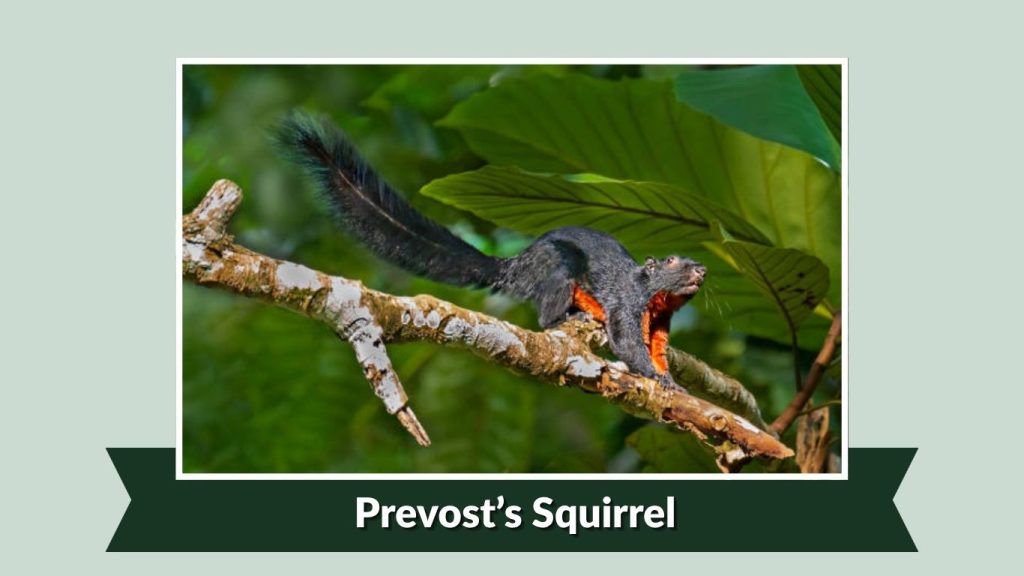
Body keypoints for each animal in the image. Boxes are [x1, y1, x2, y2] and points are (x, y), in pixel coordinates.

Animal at [276, 113, 705, 389]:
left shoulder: (662, 321)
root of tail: (516, 265)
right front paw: (657, 379)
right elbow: (627, 342)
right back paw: (571, 312)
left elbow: (658, 349)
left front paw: (670, 378)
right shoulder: (626, 301)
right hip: (556, 265)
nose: (701, 270)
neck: (654, 297)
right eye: (671, 260)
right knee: (549, 311)